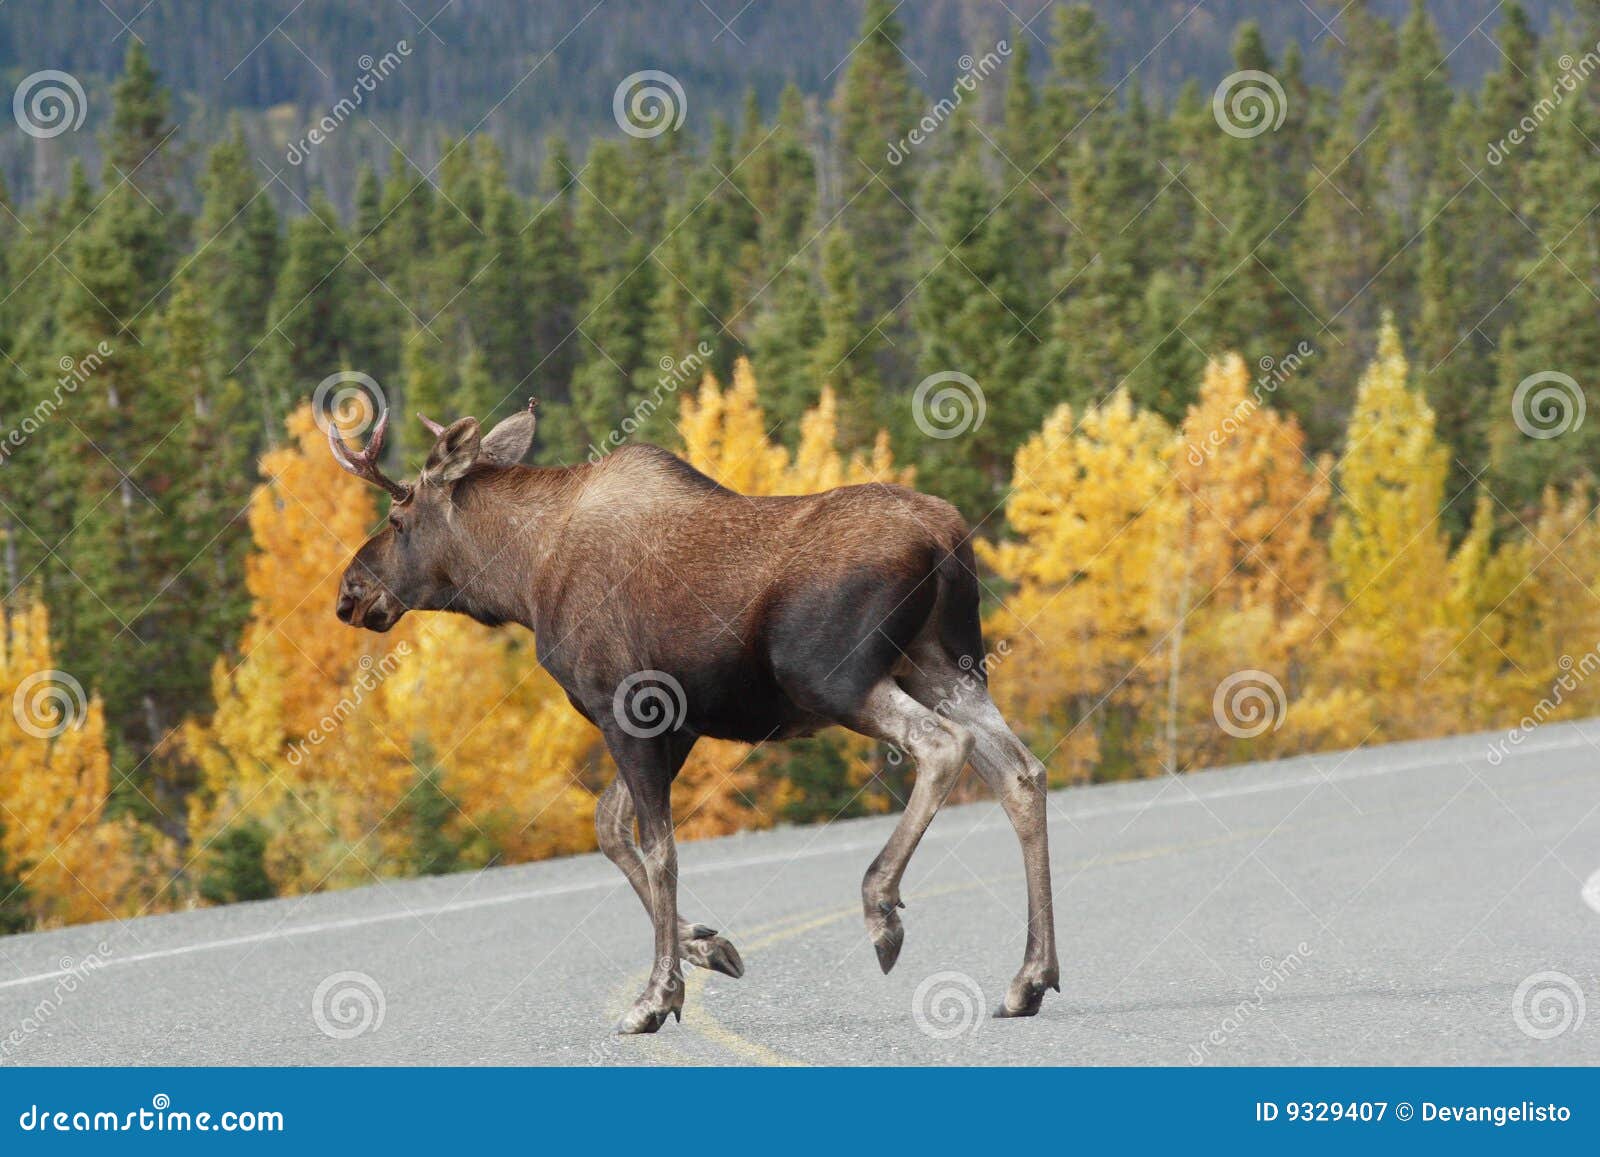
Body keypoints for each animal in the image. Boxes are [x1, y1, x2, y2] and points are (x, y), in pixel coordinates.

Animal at [329, 403, 1059, 1034]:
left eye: (398, 516)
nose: (349, 592)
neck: (523, 581)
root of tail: (947, 539)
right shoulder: (678, 725)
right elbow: (610, 827)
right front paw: (708, 944)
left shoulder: (631, 707)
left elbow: (657, 849)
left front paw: (656, 996)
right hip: (945, 665)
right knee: (1022, 771)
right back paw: (1029, 978)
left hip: (834, 675)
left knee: (942, 745)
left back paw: (882, 907)